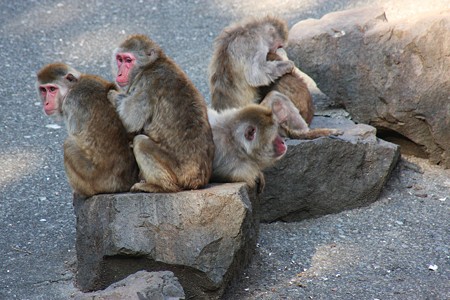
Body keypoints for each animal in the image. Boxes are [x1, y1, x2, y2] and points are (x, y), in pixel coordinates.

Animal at [36, 62, 139, 198]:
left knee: (68, 144)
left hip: (96, 181)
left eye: (52, 89)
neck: (74, 86)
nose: (46, 103)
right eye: (43, 90)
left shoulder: (71, 103)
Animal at [108, 34, 215, 192]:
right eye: (119, 59)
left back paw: (161, 186)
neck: (151, 64)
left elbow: (129, 121)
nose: (120, 73)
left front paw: (112, 94)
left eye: (128, 60)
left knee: (140, 142)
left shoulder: (146, 84)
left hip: (179, 172)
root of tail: (197, 181)